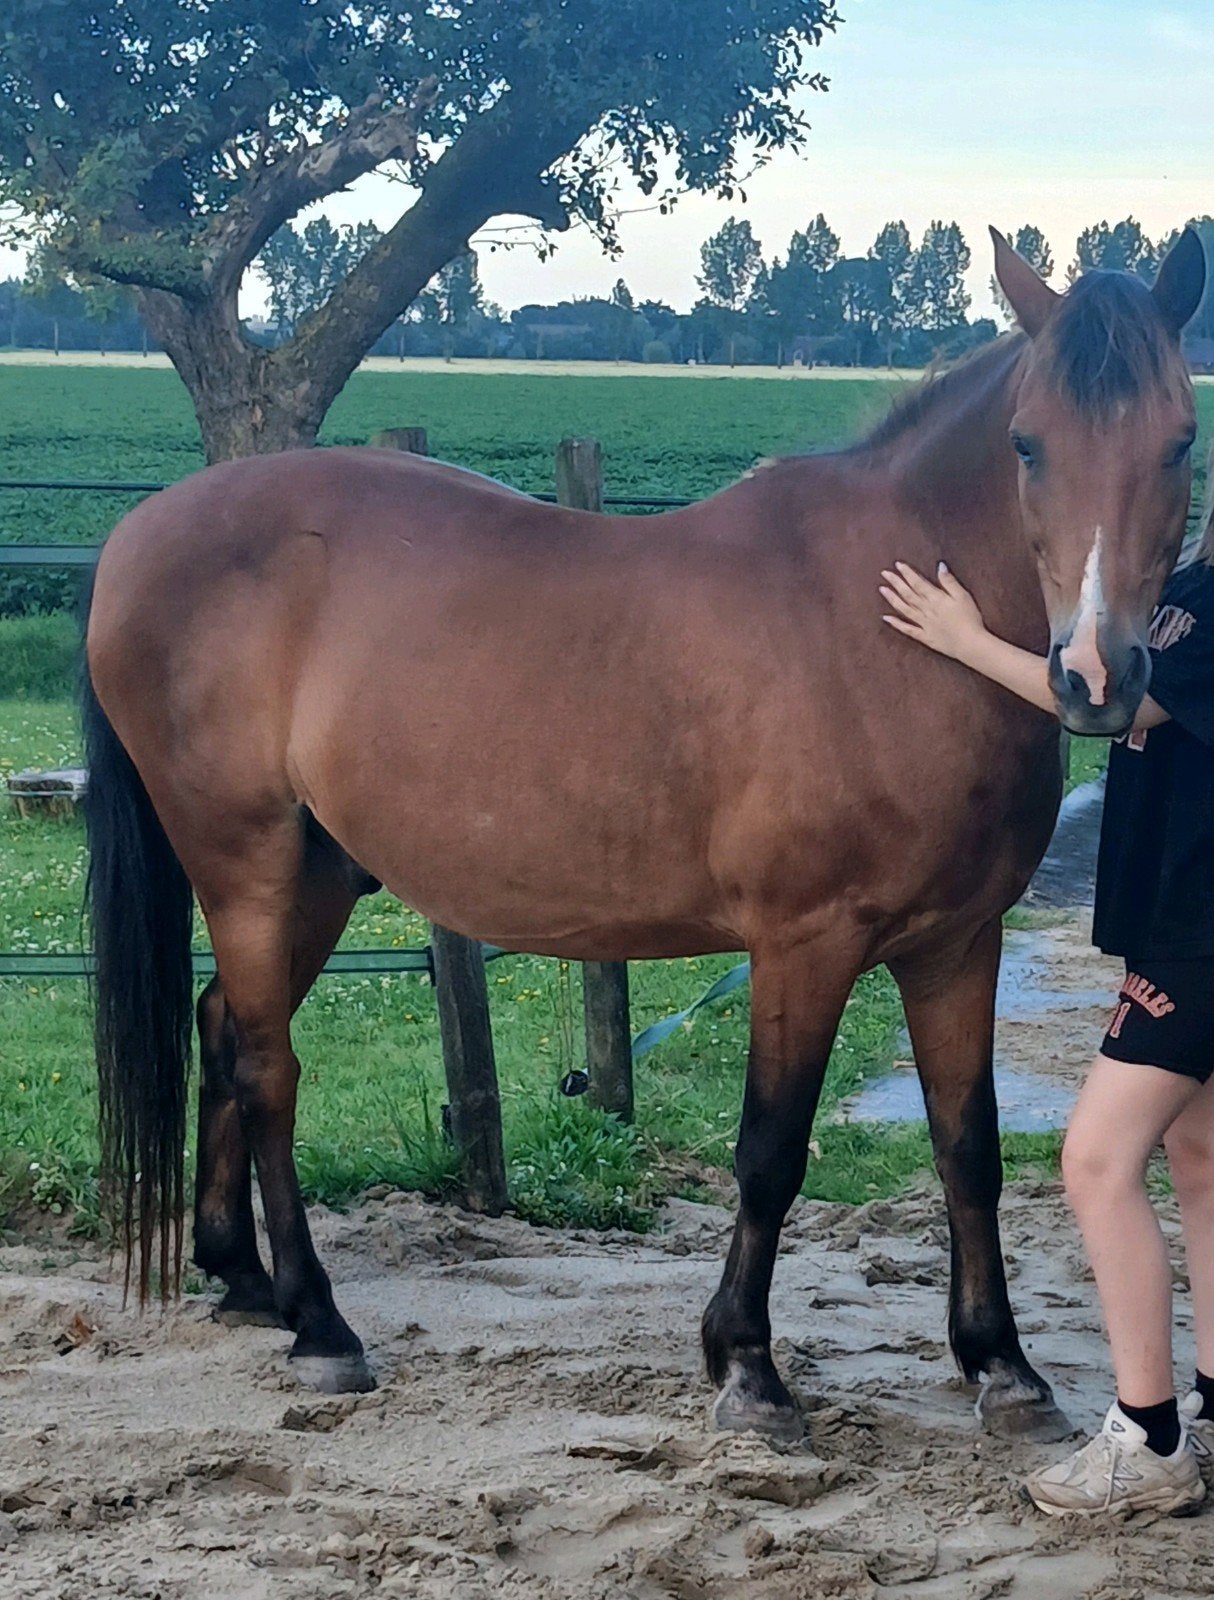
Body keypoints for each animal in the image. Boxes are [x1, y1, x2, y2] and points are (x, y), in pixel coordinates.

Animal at [83, 227, 1205, 1443]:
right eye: (1025, 443)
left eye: (1179, 440)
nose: (1096, 676)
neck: (892, 631)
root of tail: (138, 533)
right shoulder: (802, 947)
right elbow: (770, 1152)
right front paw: (747, 1368)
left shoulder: (956, 944)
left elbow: (968, 1145)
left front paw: (1001, 1364)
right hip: (244, 862)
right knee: (266, 1067)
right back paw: (319, 1324)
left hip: (320, 873)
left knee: (222, 1031)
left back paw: (244, 1277)